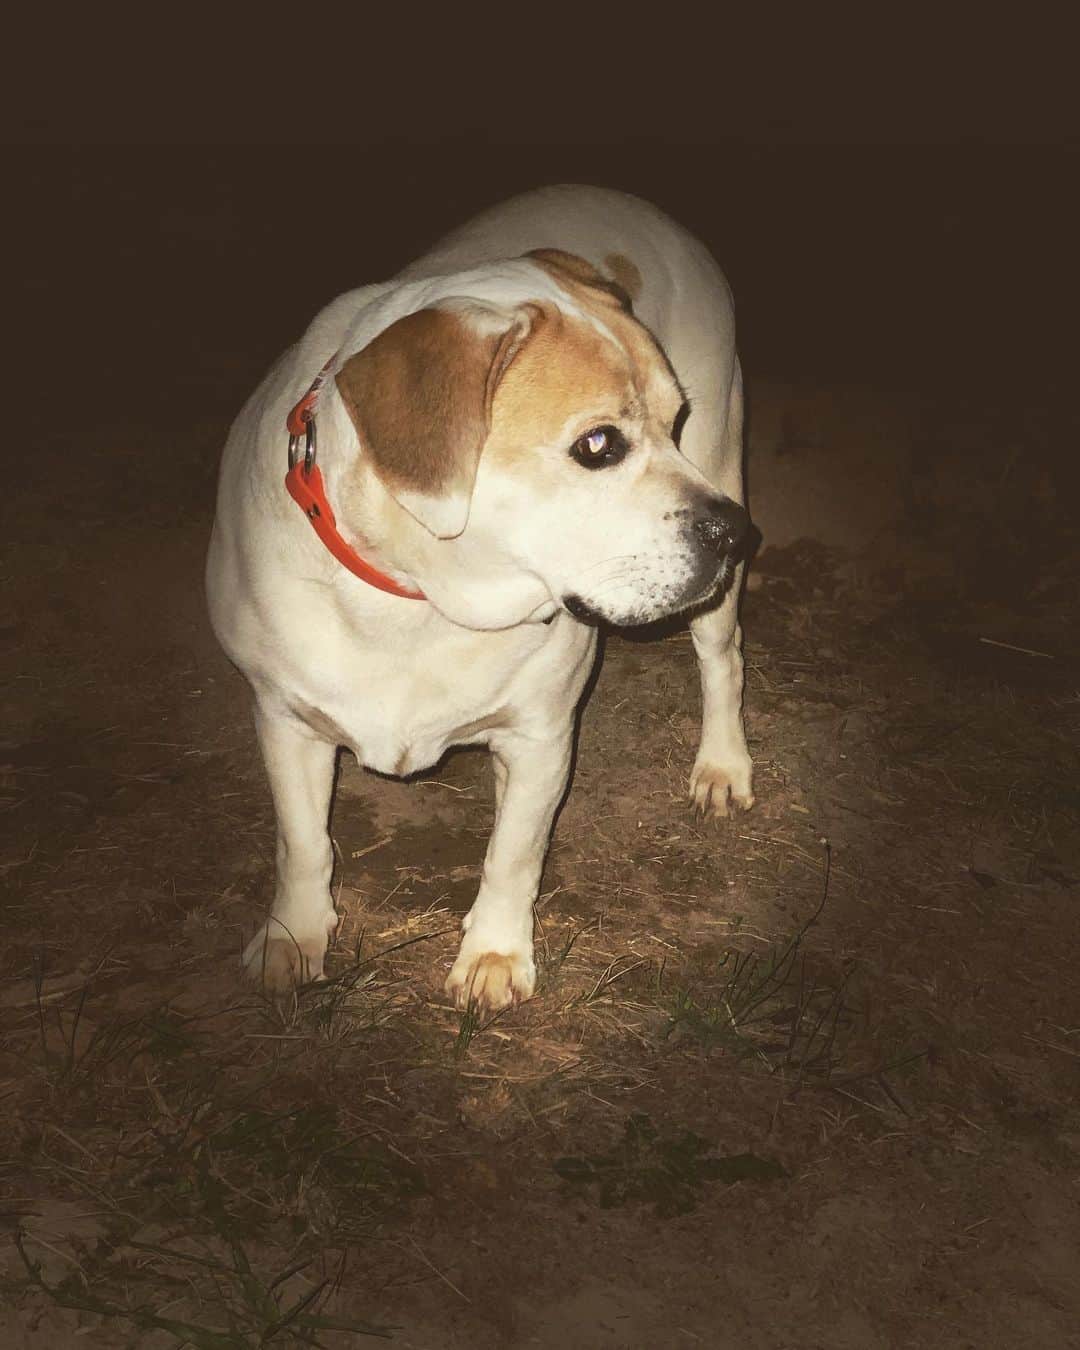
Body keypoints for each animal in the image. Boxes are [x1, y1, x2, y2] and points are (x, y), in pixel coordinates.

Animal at [206, 187, 756, 1015]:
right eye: (598, 445)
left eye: (675, 422)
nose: (733, 533)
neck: (420, 601)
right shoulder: (285, 718)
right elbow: (302, 845)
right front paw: (293, 938)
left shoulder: (540, 736)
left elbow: (513, 856)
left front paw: (494, 956)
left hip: (721, 494)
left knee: (722, 660)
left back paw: (723, 763)